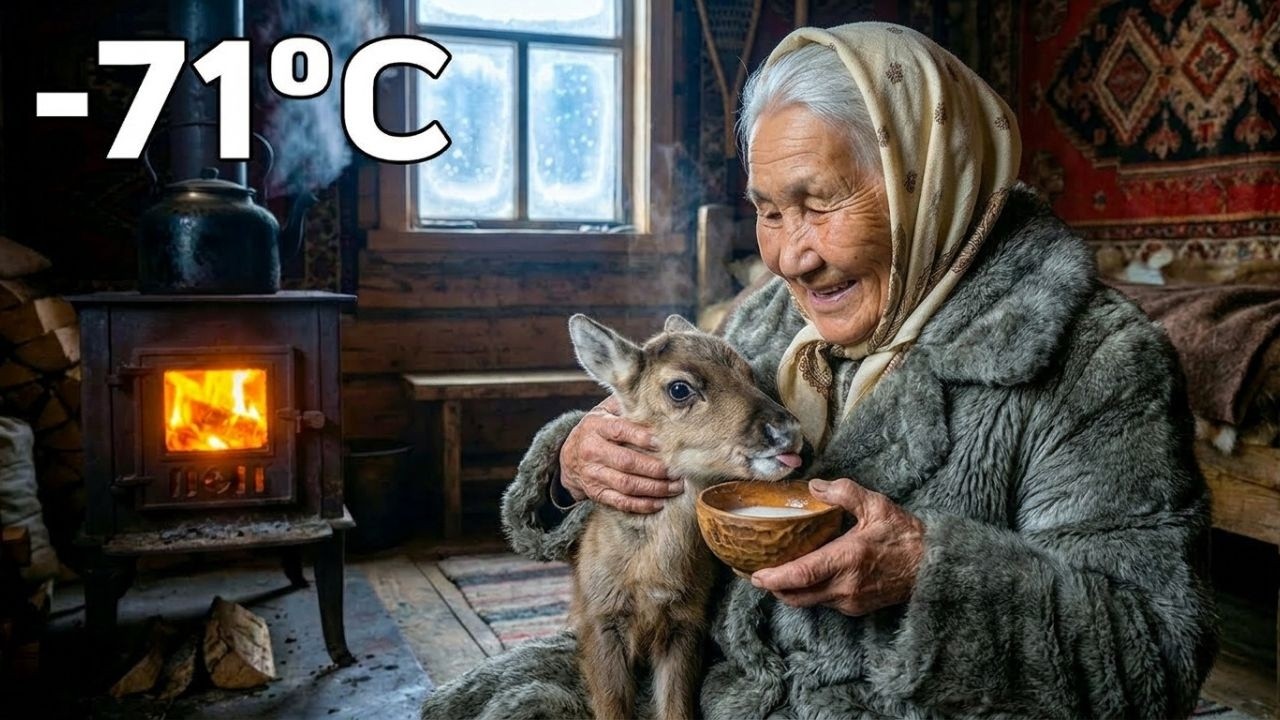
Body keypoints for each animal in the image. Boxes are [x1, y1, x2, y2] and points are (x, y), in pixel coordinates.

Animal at [566, 313, 804, 720]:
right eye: (679, 388)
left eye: (749, 373)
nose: (786, 431)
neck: (649, 577)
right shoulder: (600, 620)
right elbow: (613, 708)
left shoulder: (687, 623)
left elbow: (676, 707)